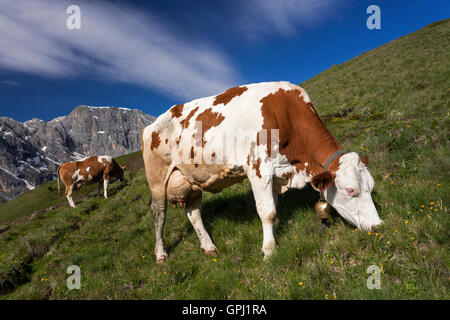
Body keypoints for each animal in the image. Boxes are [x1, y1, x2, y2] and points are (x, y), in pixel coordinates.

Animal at [142, 81, 384, 264]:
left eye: (371, 188)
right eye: (350, 190)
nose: (378, 226)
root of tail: (152, 124)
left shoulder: (277, 172)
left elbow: (274, 208)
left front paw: (274, 233)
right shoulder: (259, 168)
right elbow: (267, 211)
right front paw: (269, 250)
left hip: (192, 179)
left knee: (194, 213)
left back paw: (209, 247)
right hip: (157, 178)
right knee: (159, 214)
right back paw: (161, 254)